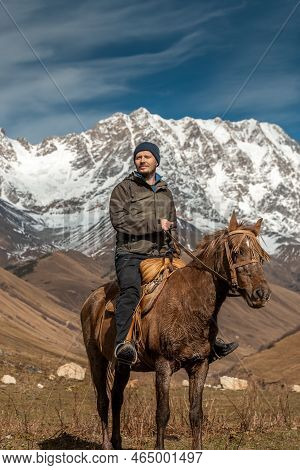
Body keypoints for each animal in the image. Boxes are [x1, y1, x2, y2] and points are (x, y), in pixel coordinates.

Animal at [80, 212, 272, 448]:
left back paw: (117, 443)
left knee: (117, 398)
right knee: (103, 400)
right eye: (236, 252)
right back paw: (107, 445)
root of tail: (92, 298)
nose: (261, 294)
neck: (189, 304)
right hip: (96, 358)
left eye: (261, 257)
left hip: (122, 364)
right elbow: (162, 413)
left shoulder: (200, 365)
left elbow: (196, 414)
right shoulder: (163, 366)